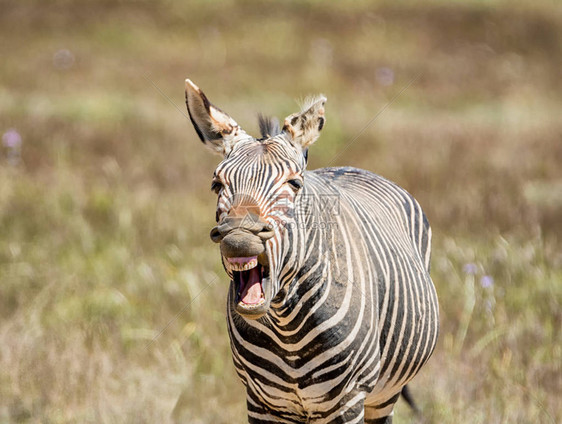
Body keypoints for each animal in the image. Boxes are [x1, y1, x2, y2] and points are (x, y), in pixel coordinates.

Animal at [184, 78, 438, 422]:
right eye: (217, 185)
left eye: (294, 184)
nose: (238, 237)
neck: (285, 327)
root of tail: (350, 167)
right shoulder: (260, 402)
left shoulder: (349, 400)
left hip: (384, 395)